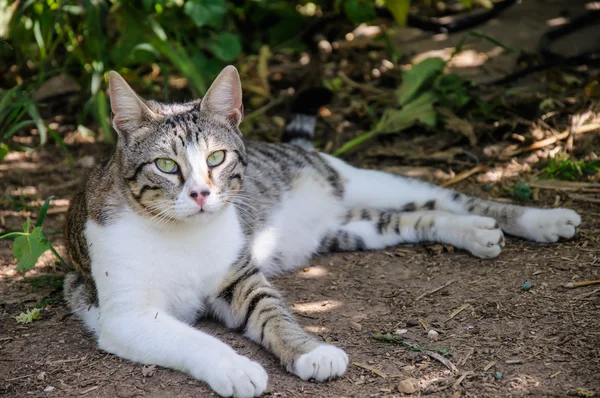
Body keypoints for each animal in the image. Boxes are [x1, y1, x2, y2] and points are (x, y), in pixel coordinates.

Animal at [64, 64, 580, 394]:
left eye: (216, 158)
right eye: (167, 166)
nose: (201, 194)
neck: (183, 233)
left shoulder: (240, 276)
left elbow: (276, 315)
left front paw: (308, 351)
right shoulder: (123, 314)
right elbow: (192, 338)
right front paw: (235, 368)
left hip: (359, 179)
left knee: (447, 197)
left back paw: (540, 218)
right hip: (352, 228)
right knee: (421, 216)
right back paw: (474, 231)